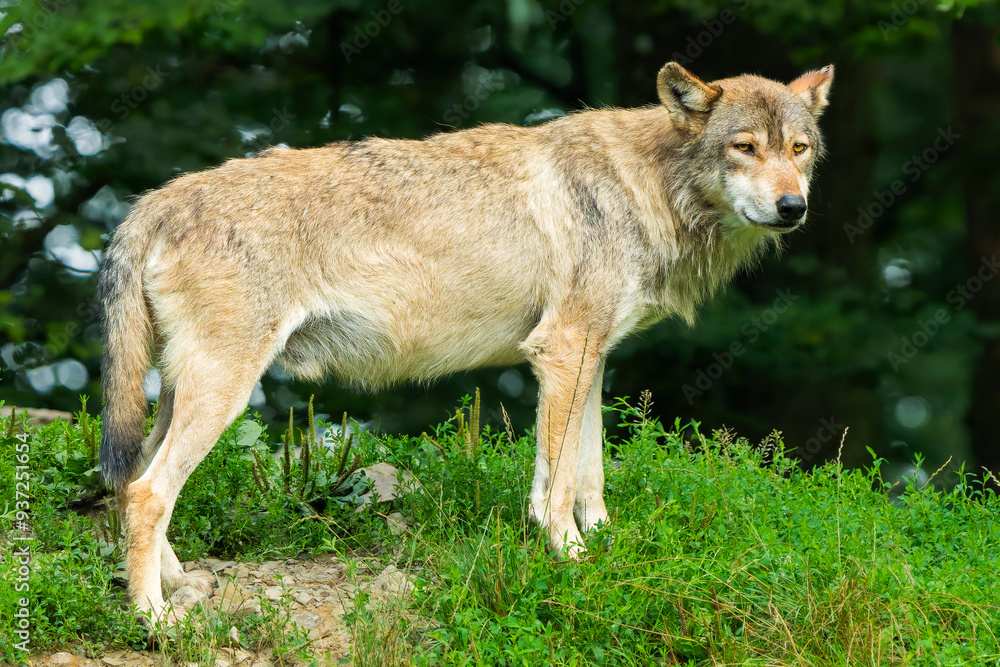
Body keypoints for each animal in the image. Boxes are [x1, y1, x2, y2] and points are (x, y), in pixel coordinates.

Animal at [98, 62, 833, 622]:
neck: (647, 184)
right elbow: (556, 485)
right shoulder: (563, 350)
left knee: (133, 481)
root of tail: (152, 202)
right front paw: (568, 556)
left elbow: (590, 473)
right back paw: (152, 616)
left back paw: (177, 585)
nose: (793, 208)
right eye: (744, 147)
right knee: (148, 492)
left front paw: (603, 545)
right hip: (225, 387)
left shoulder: (591, 357)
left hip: (187, 391)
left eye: (798, 150)